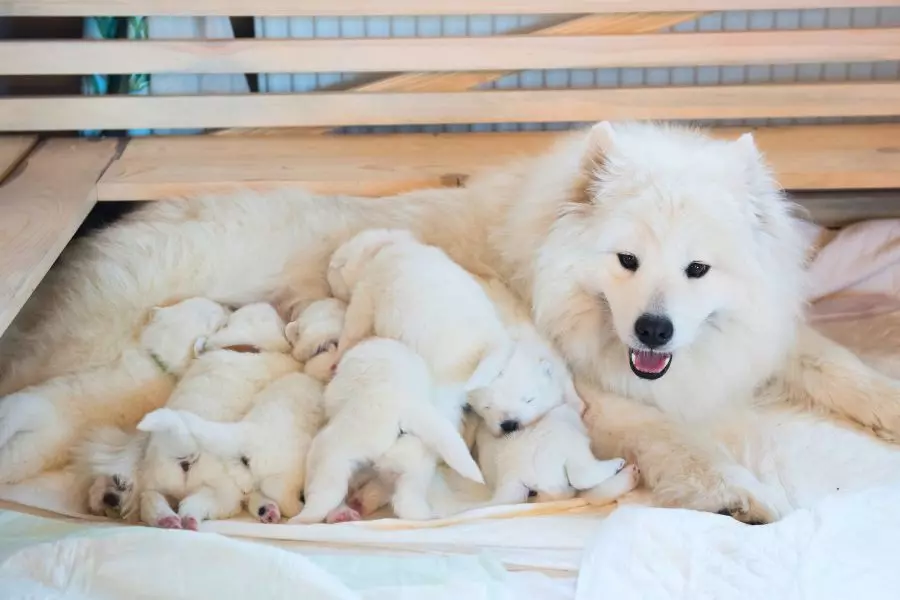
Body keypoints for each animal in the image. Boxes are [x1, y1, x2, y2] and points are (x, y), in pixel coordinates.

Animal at [139, 372, 326, 524]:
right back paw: (296, 509)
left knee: (168, 501)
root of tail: (246, 433)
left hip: (212, 491)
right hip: (282, 472)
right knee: (280, 494)